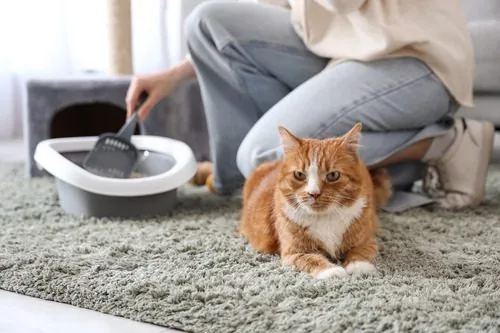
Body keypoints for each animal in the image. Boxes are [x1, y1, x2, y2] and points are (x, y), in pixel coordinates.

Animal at [238, 122, 390, 278]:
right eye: (299, 174)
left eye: (333, 175)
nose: (314, 193)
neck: (325, 218)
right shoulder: (294, 253)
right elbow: (312, 259)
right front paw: (332, 271)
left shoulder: (366, 241)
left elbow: (360, 252)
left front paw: (358, 267)